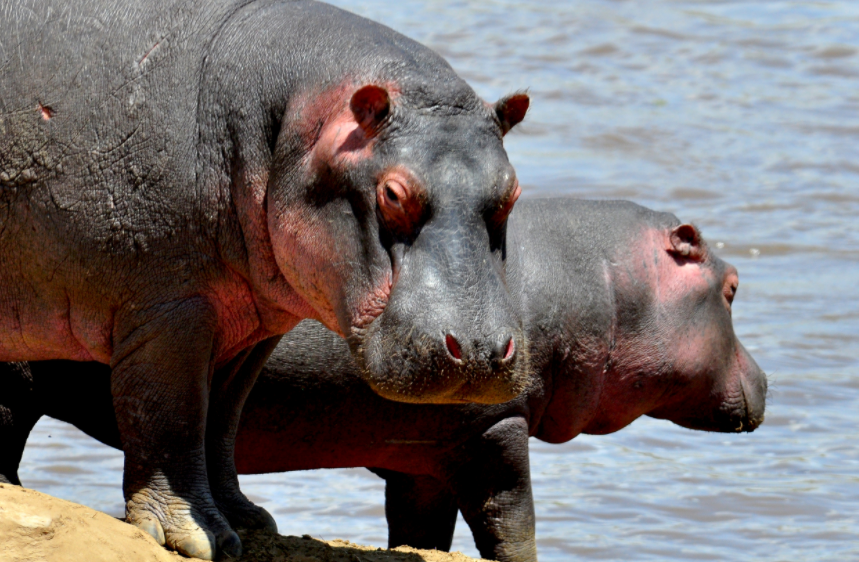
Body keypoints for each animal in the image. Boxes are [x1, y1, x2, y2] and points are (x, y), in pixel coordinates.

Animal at [0, 2, 532, 556]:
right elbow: (172, 413)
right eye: (392, 194)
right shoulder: (169, 311)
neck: (293, 119)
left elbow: (221, 419)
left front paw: (247, 520)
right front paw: (199, 537)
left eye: (513, 192)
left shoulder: (250, 325)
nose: (479, 350)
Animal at [0, 198, 764, 560]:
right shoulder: (495, 428)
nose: (766, 380)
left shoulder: (425, 457)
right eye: (731, 288)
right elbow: (512, 519)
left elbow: (423, 534)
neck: (599, 280)